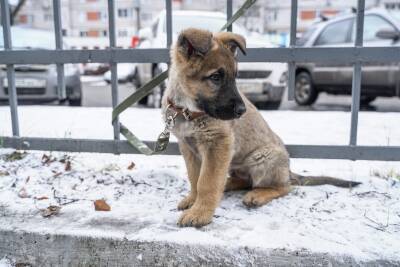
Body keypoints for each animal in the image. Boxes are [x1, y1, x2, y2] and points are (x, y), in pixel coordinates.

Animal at [161, 27, 360, 228]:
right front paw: (193, 200)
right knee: (244, 180)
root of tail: (288, 172)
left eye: (235, 77)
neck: (188, 110)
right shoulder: (189, 148)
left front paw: (200, 213)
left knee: (284, 187)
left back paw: (257, 194)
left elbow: (207, 182)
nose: (242, 111)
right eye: (215, 77)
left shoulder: (217, 144)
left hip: (263, 158)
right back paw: (228, 184)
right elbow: (195, 178)